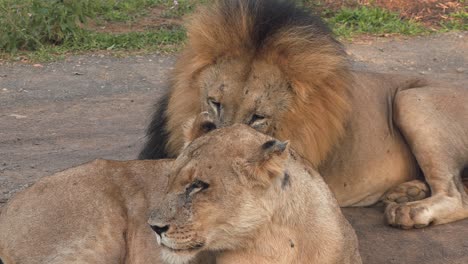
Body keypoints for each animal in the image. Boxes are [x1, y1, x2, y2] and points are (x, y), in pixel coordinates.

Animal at [139, 0, 468, 229]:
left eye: (258, 117)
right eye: (215, 102)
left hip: (410, 99)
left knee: (457, 196)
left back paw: (409, 210)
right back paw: (406, 191)